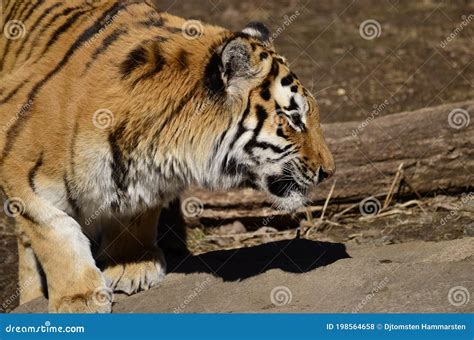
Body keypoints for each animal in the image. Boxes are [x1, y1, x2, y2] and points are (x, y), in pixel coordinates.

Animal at [0, 0, 334, 314]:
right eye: (294, 119)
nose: (328, 172)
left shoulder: (147, 178)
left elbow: (136, 212)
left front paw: (130, 264)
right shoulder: (17, 167)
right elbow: (54, 231)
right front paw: (78, 298)